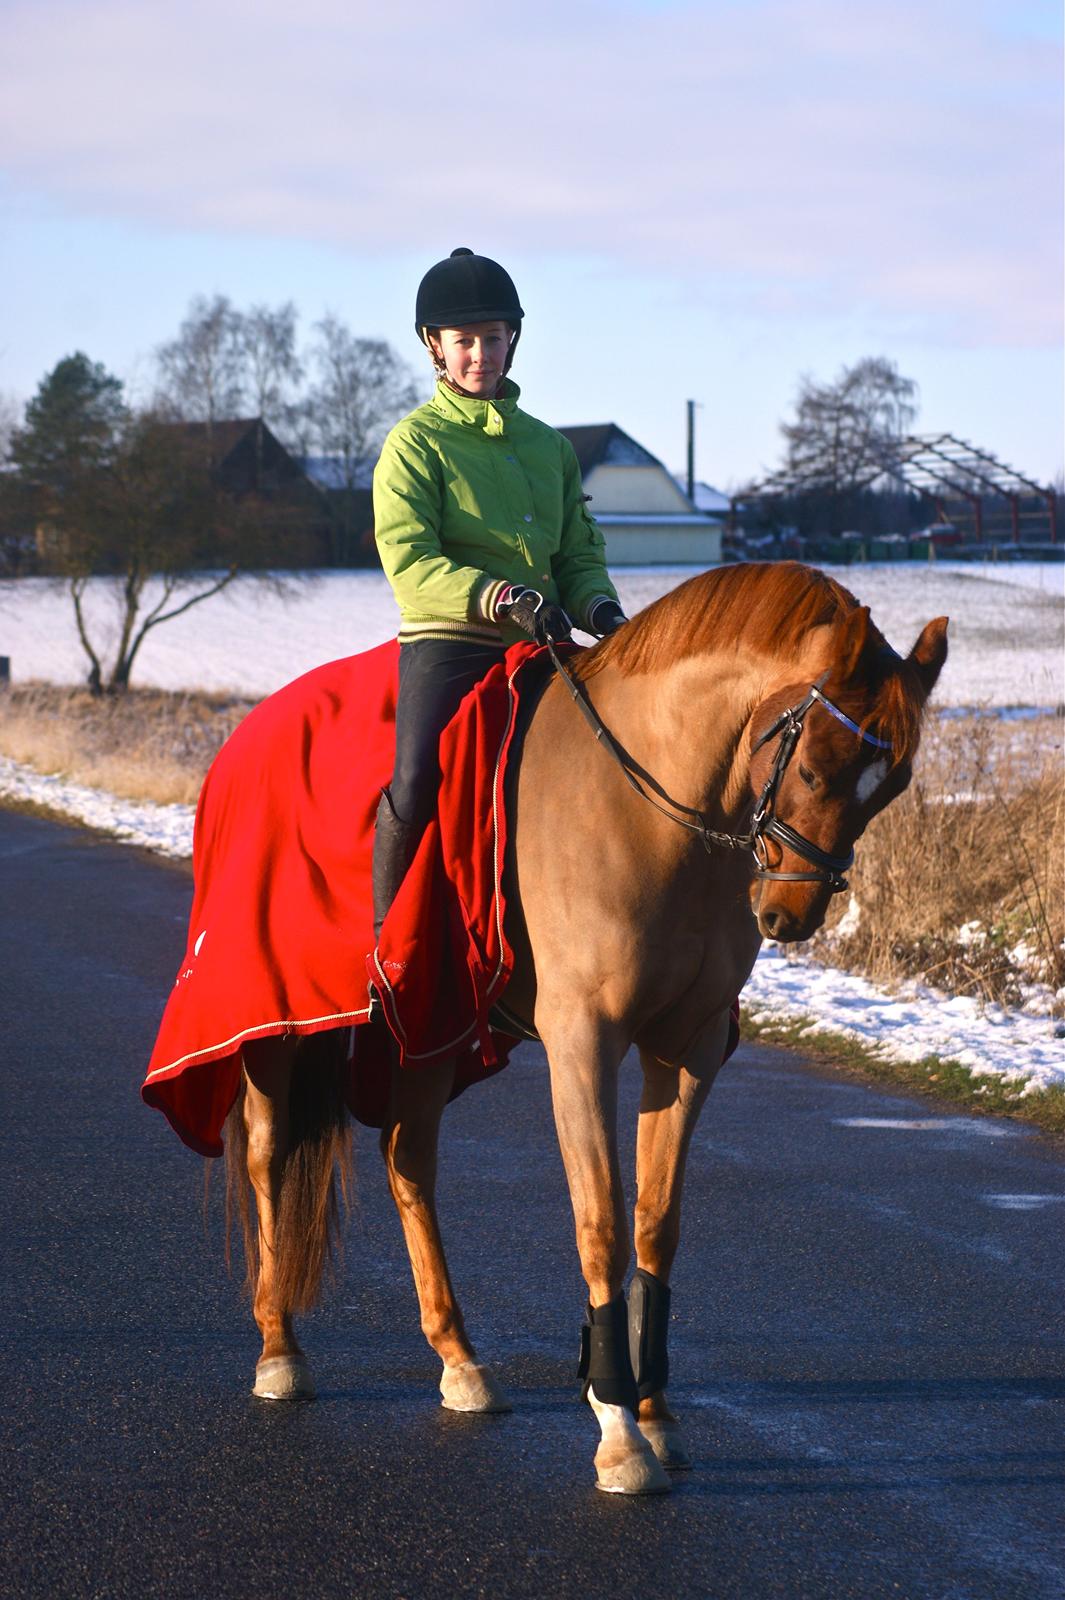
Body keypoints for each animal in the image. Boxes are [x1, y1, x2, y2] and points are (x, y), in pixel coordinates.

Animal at [219, 563, 940, 1497]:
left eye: (891, 786)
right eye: (815, 768)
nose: (790, 914)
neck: (653, 815)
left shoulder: (686, 1048)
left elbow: (655, 1224)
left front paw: (656, 1416)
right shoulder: (582, 1042)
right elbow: (598, 1219)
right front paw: (617, 1430)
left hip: (430, 1030)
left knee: (408, 1161)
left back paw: (460, 1361)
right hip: (280, 1028)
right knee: (269, 1155)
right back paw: (279, 1349)